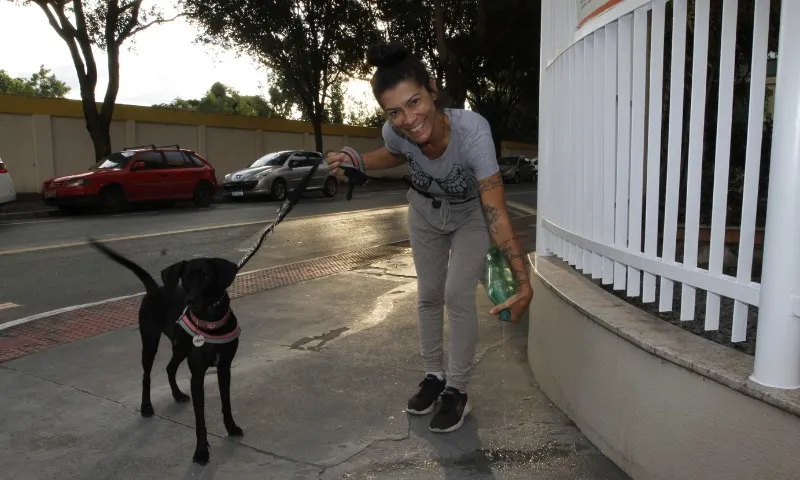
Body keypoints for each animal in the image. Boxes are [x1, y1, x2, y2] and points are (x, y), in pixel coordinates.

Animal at [88, 239, 242, 464]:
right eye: (185, 277)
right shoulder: (197, 375)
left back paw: (177, 394)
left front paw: (231, 427)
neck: (210, 321)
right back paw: (146, 407)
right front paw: (201, 452)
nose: (190, 301)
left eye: (206, 276)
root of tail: (154, 288)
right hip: (150, 342)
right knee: (146, 376)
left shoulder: (224, 368)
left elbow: (227, 402)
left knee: (170, 367)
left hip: (180, 347)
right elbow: (200, 419)